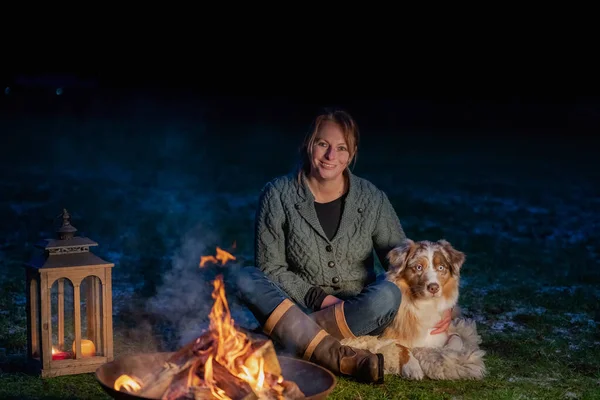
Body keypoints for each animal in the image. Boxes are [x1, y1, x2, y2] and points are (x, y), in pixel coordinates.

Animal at [340, 239, 486, 380]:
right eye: (418, 267)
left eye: (441, 267)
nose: (433, 287)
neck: (425, 305)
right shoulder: (384, 338)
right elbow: (403, 348)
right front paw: (413, 367)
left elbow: (457, 338)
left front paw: (446, 355)